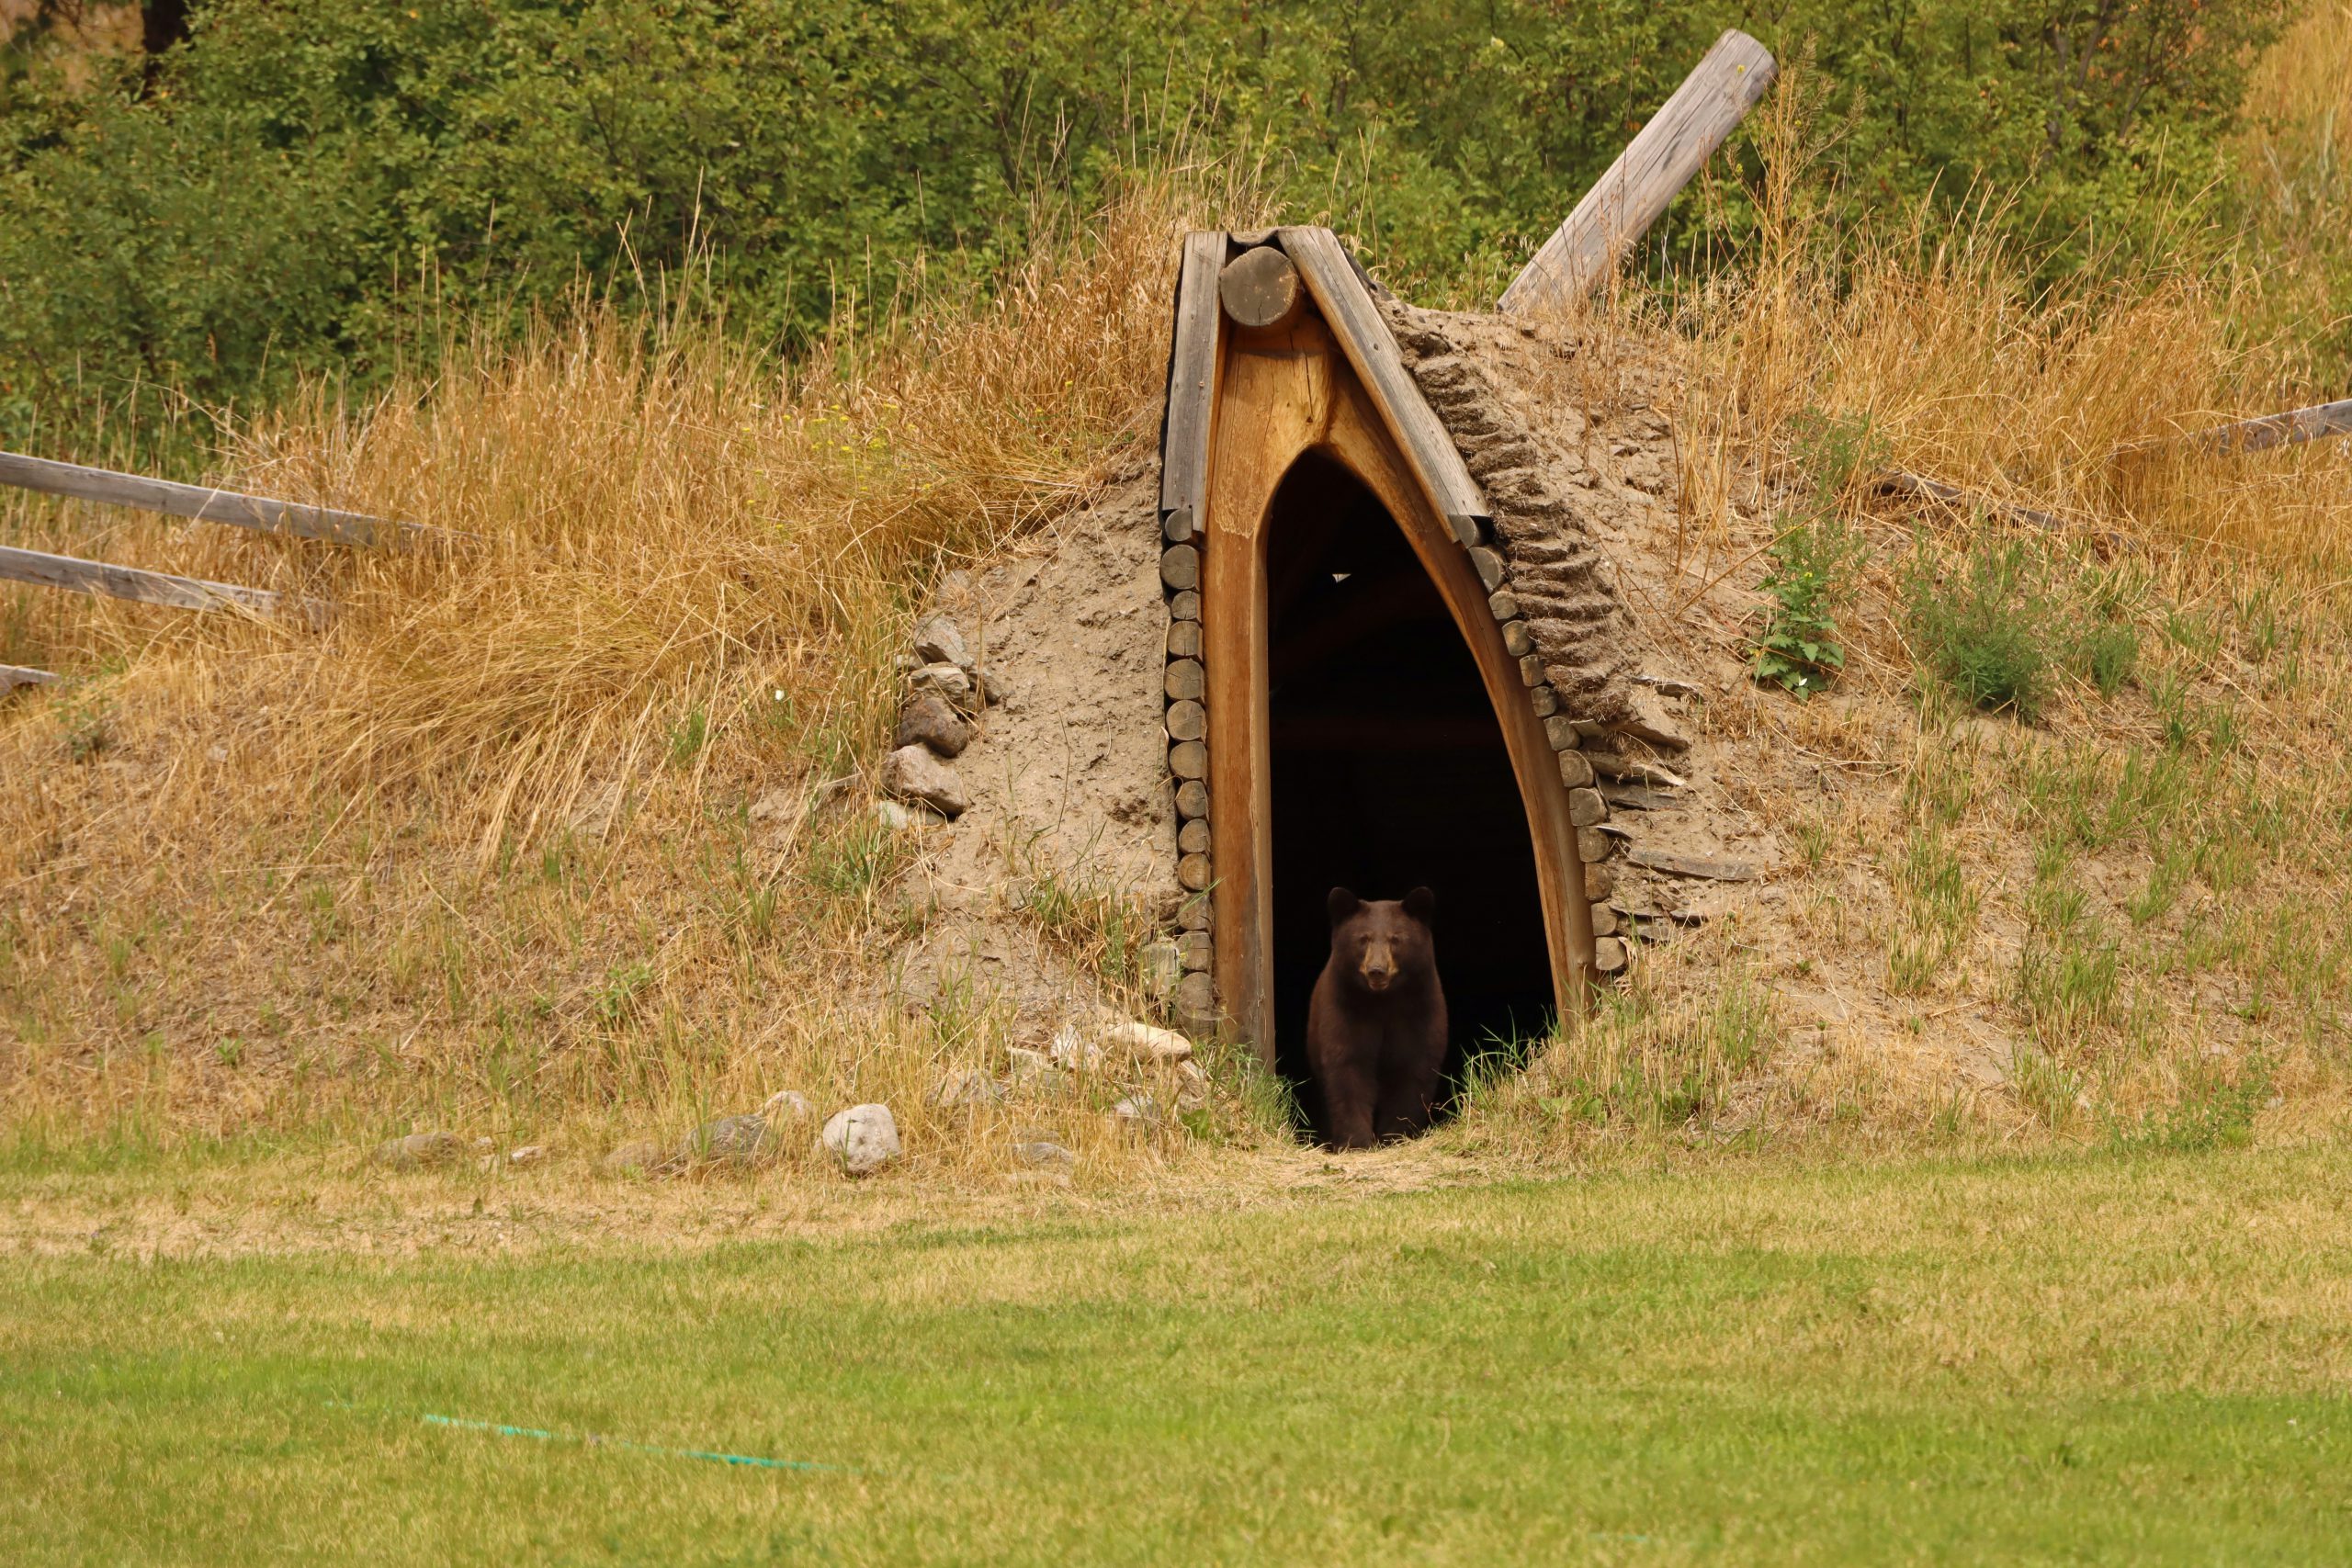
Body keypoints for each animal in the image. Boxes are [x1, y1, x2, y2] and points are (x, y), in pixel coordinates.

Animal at [1307, 888, 1448, 1146]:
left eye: (1396, 939)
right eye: (1364, 939)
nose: (1377, 970)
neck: (1383, 1000)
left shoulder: (1420, 1010)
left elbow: (1412, 1069)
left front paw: (1395, 1137)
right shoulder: (1345, 1008)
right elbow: (1348, 1067)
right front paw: (1356, 1141)